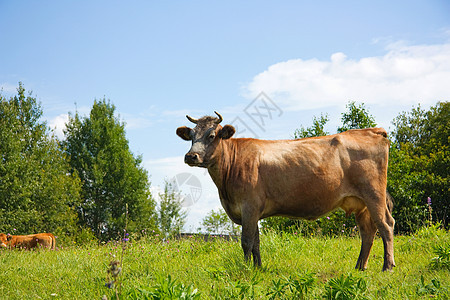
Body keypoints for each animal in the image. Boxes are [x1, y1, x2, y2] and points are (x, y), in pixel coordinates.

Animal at [178, 111, 396, 270]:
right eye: (191, 137)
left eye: (212, 135)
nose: (191, 156)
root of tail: (372, 130)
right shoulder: (253, 212)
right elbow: (256, 242)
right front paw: (258, 268)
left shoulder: (249, 207)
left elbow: (246, 242)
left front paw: (246, 269)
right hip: (361, 203)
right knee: (368, 231)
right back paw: (360, 267)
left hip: (374, 194)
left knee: (386, 225)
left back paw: (387, 266)